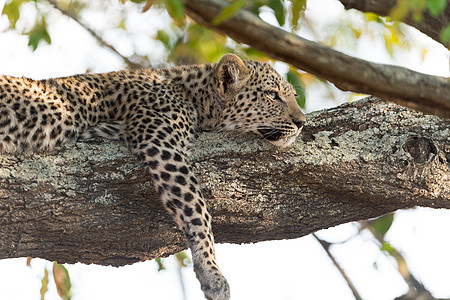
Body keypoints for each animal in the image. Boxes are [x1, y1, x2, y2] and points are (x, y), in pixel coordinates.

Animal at [0, 54, 306, 300]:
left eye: (290, 95)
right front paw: (212, 273)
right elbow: (197, 208)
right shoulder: (160, 142)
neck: (195, 96)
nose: (302, 122)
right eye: (272, 95)